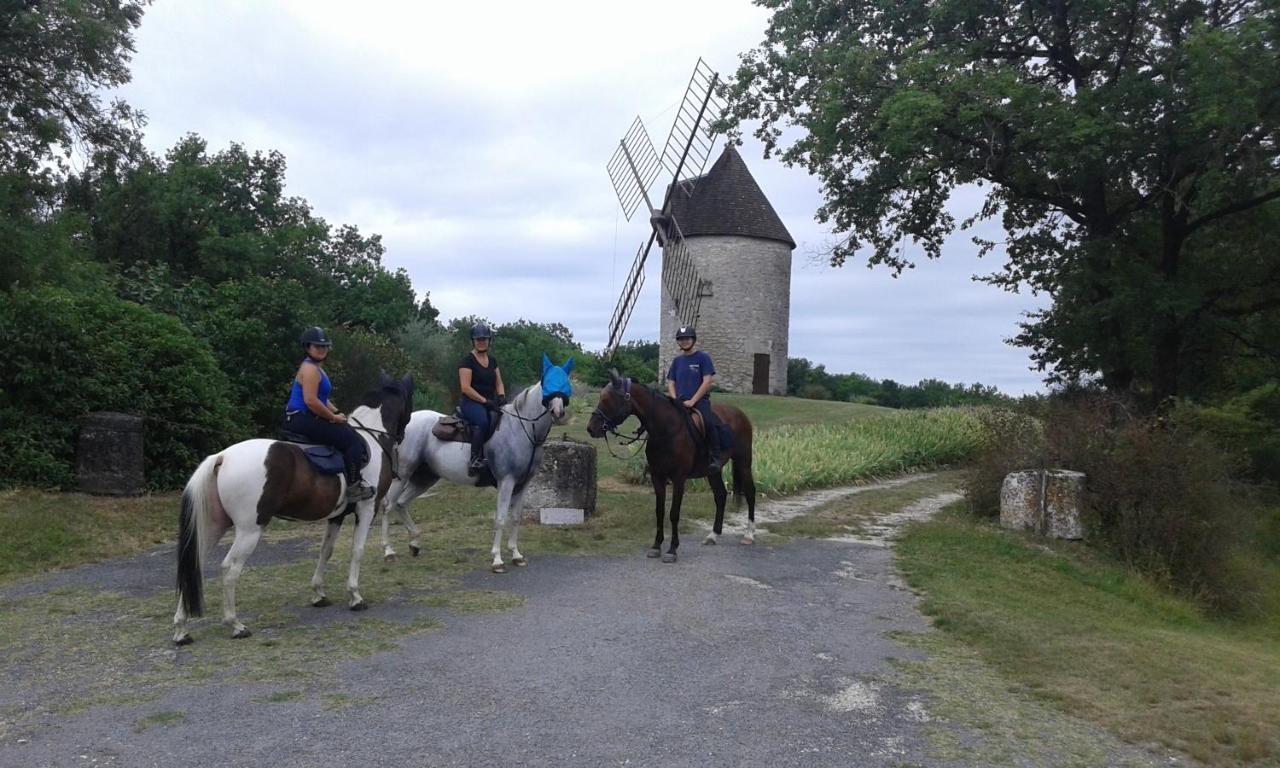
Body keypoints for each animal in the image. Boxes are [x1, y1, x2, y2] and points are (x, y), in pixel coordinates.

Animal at [172, 373, 412, 645]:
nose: (402, 435)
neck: (371, 437)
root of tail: (222, 457)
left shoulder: (337, 516)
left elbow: (325, 551)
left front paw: (319, 593)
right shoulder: (366, 509)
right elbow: (357, 550)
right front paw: (355, 596)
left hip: (214, 526)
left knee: (195, 565)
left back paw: (181, 630)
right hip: (249, 530)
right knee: (230, 569)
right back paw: (235, 624)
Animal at [376, 353, 573, 570]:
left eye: (566, 382)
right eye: (547, 382)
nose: (557, 411)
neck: (523, 429)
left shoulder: (523, 484)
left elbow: (515, 518)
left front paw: (516, 554)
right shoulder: (507, 481)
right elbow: (501, 518)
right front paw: (497, 559)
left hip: (425, 477)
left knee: (401, 503)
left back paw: (415, 543)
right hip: (403, 474)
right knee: (389, 505)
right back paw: (388, 551)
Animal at [588, 368, 757, 560]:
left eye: (608, 400)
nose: (591, 428)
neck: (667, 430)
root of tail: (740, 414)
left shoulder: (678, 479)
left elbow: (674, 513)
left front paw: (672, 549)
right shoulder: (657, 477)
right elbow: (660, 511)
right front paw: (656, 546)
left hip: (743, 461)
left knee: (750, 492)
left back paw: (749, 535)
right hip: (713, 471)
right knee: (720, 495)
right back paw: (713, 535)